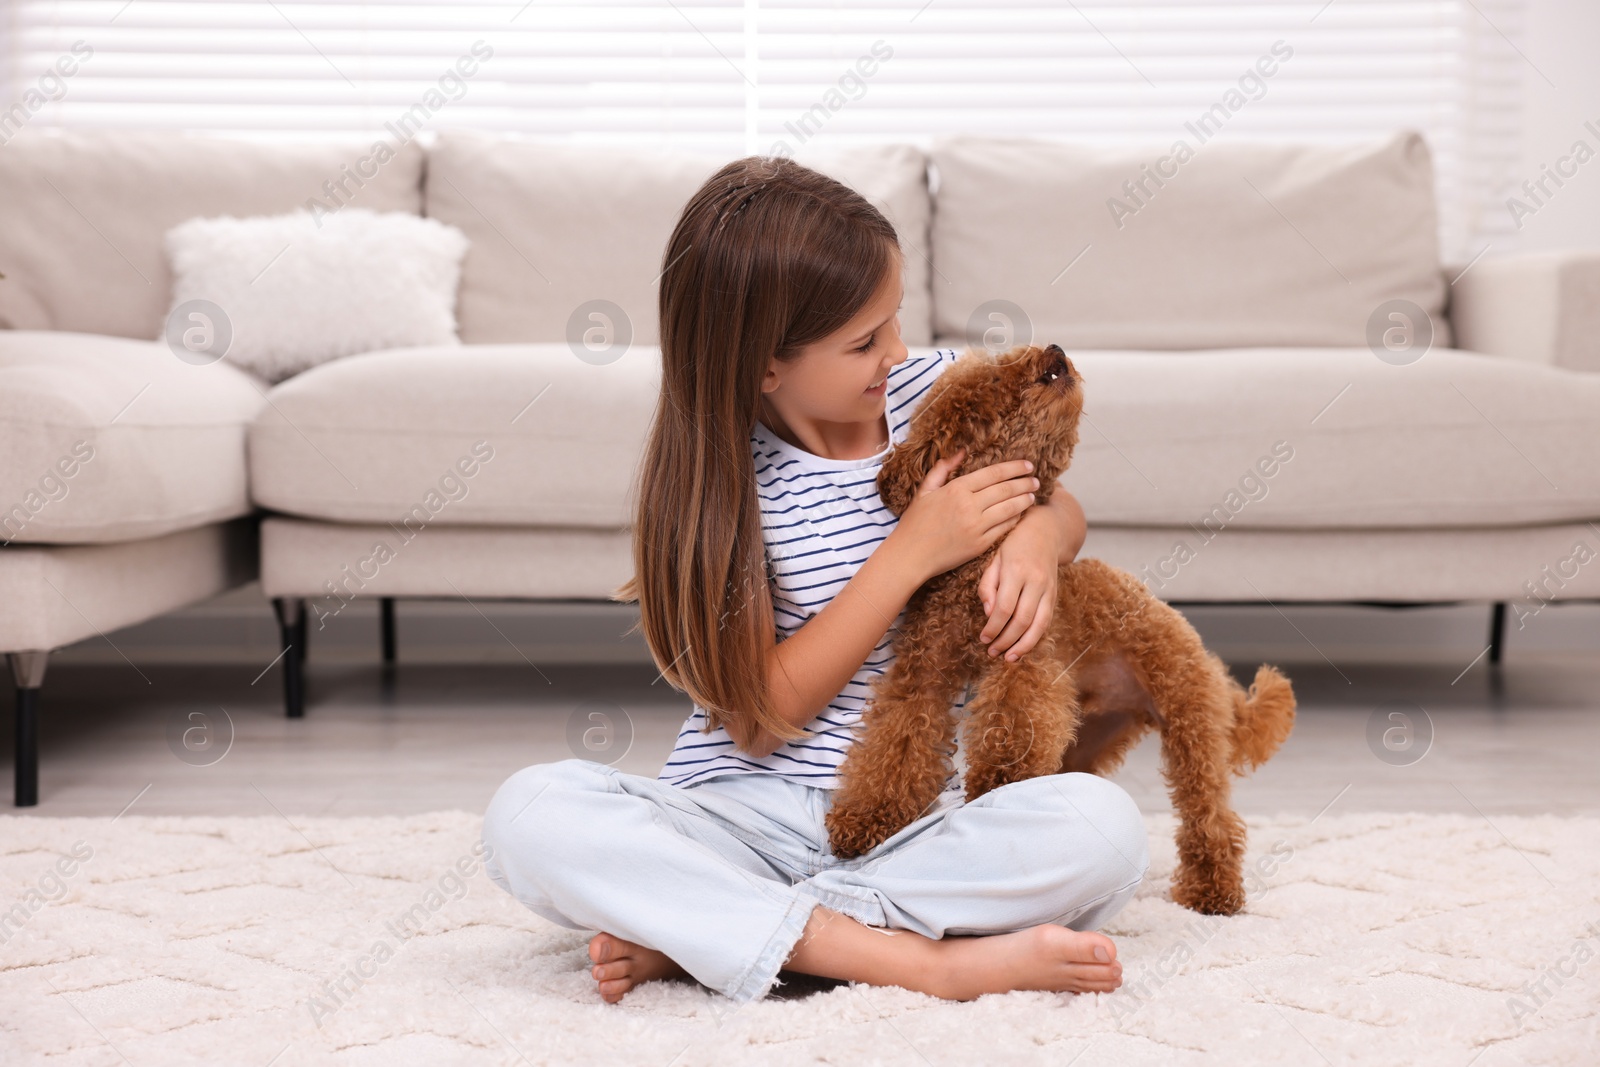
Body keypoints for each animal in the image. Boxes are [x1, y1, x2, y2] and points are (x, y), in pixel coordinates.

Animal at [832, 343, 1292, 921]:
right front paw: (863, 819)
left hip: (1190, 721)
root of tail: (1198, 650)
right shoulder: (923, 670)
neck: (982, 562)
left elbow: (1010, 729)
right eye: (995, 379)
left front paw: (996, 788)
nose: (1053, 350)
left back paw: (1214, 892)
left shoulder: (1024, 657)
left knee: (1209, 812)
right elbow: (894, 743)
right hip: (1089, 737)